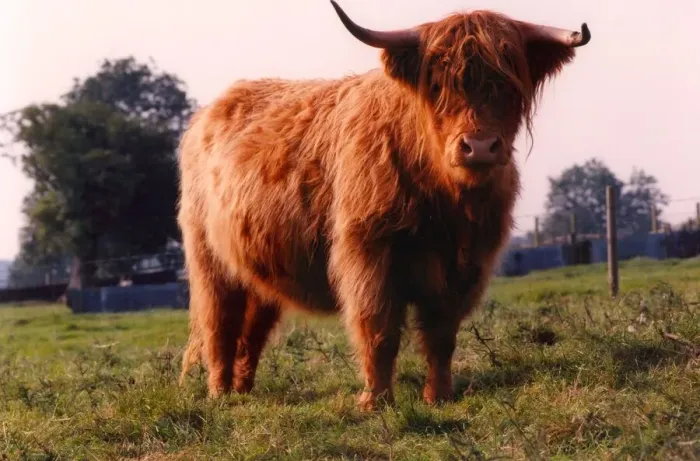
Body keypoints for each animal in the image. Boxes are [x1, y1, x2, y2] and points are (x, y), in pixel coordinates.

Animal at [177, 1, 591, 410]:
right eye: (437, 84)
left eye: (507, 83)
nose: (479, 147)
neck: (444, 200)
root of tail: (209, 112)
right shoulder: (369, 252)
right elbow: (378, 329)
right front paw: (375, 401)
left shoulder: (465, 264)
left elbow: (442, 335)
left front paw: (439, 396)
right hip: (209, 260)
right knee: (219, 325)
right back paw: (219, 394)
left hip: (259, 268)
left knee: (252, 331)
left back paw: (243, 391)